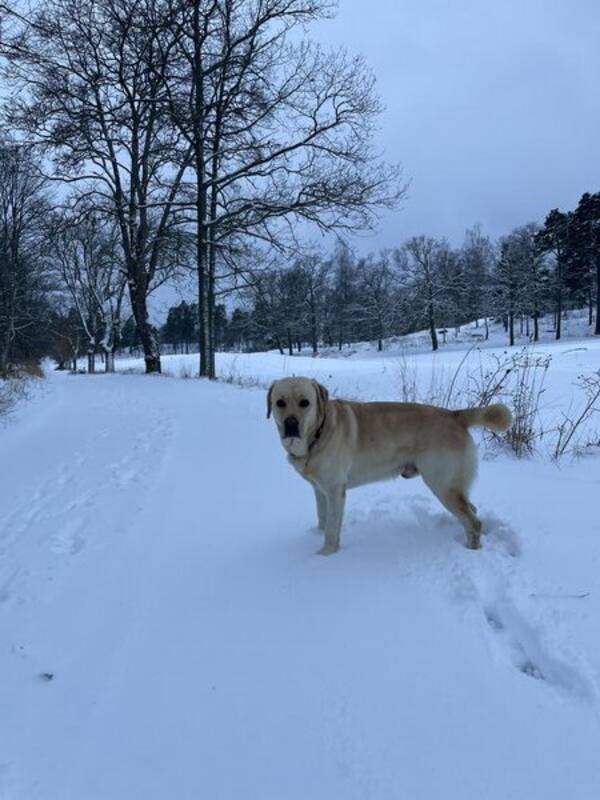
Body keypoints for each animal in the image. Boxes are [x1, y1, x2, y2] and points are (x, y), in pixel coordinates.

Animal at [270, 376, 512, 552]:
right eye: (280, 403)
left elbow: (331, 528)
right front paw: (317, 537)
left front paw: (325, 555)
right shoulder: (320, 489)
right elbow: (323, 518)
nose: (290, 424)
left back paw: (471, 549)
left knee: (473, 521)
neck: (318, 433)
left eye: (305, 403)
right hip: (451, 485)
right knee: (472, 510)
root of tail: (455, 415)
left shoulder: (335, 489)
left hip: (443, 484)